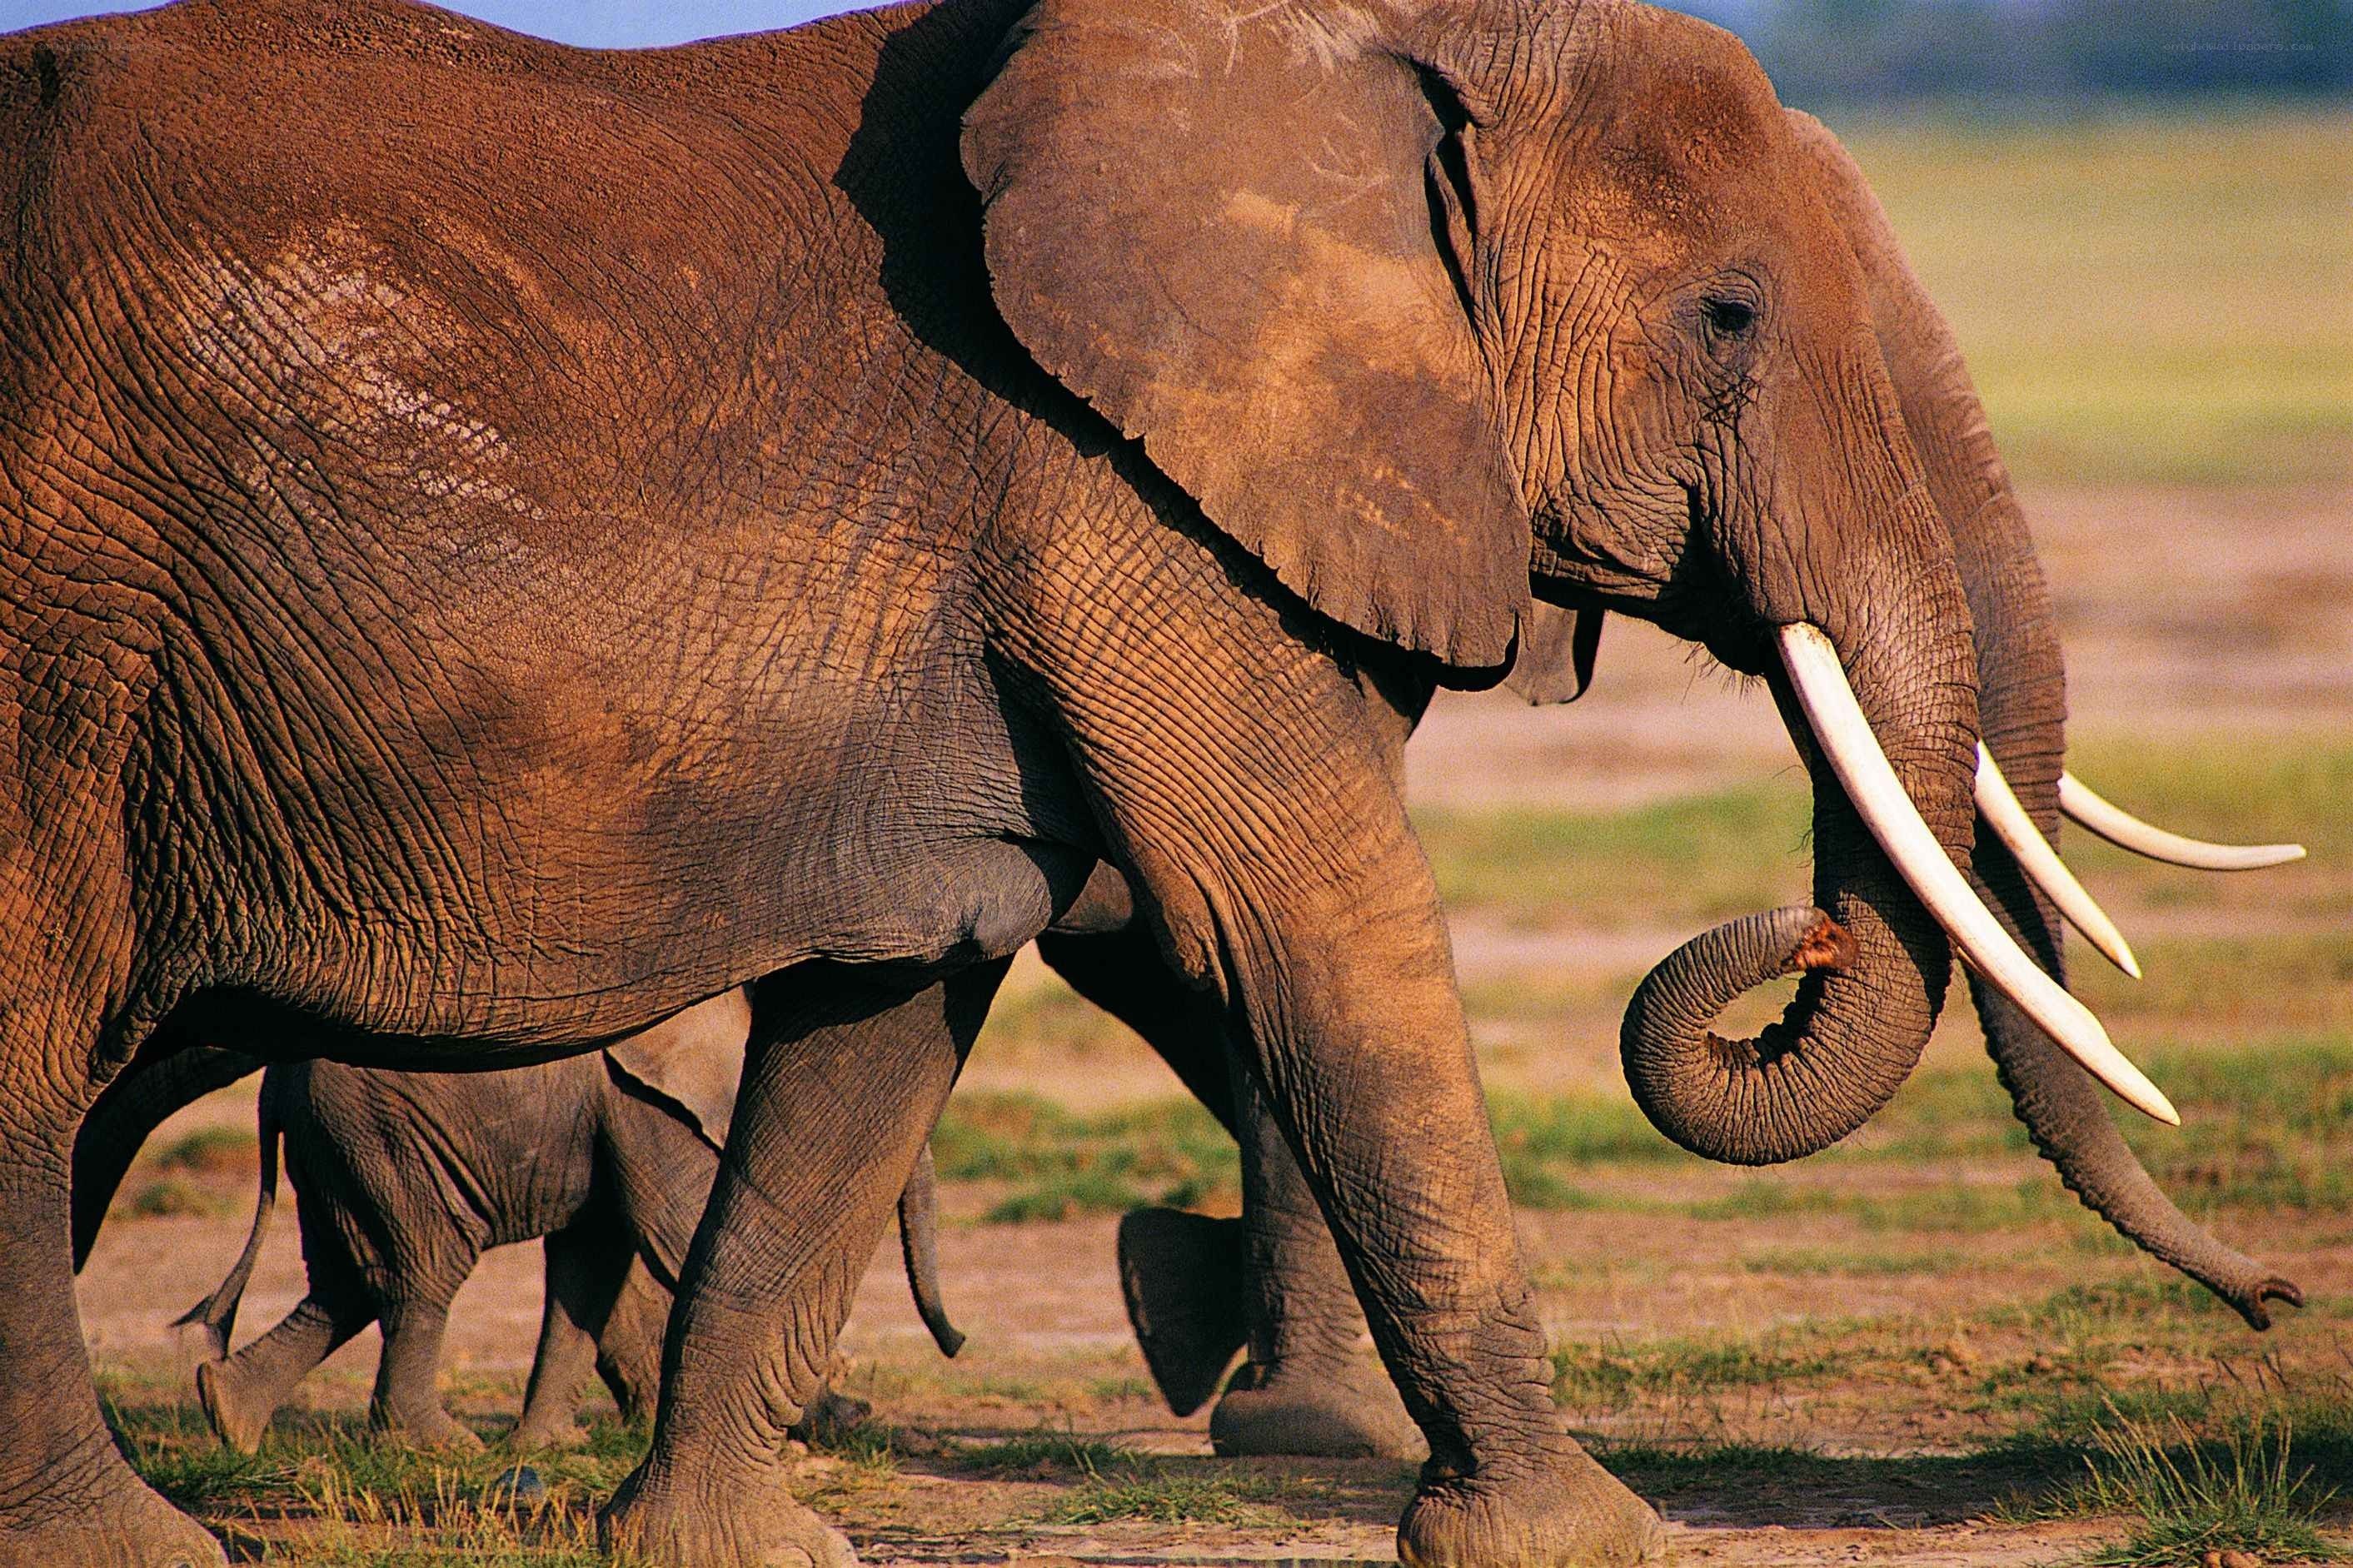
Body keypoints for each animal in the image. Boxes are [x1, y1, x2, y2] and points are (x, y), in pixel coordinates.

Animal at [169, 989, 964, 1455]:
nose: (957, 1343)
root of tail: (273, 1084)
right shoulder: (639, 1099)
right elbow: (674, 1237)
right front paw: (823, 1422)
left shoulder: (609, 1110)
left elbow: (592, 1262)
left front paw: (551, 1446)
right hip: (382, 1135)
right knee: (421, 1276)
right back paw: (439, 1447)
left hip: (341, 1146)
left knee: (349, 1283)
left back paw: (228, 1415)